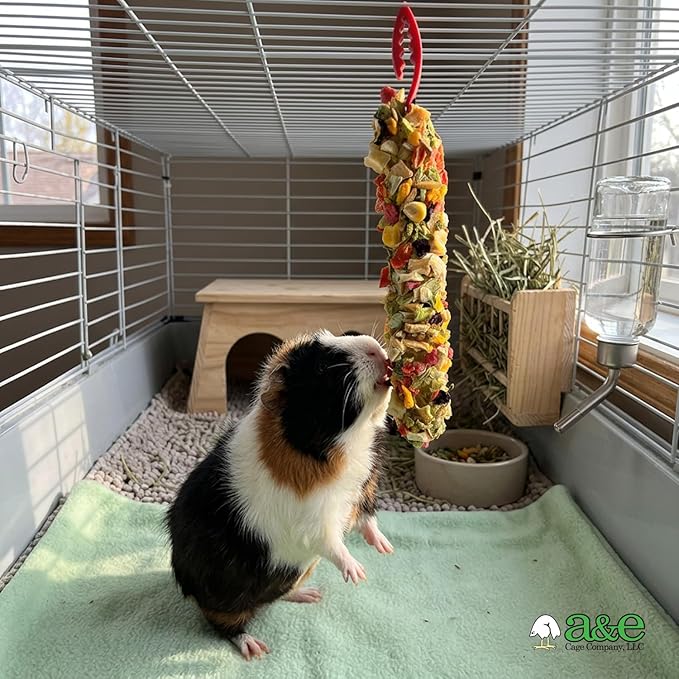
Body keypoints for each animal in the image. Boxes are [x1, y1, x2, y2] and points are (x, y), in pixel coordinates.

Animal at [167, 329, 394, 660]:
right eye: (324, 368)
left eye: (347, 334)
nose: (378, 351)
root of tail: (185, 581)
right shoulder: (314, 522)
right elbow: (333, 545)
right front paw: (357, 573)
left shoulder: (364, 489)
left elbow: (368, 520)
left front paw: (385, 548)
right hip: (225, 602)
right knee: (224, 626)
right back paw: (254, 649)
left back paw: (310, 595)